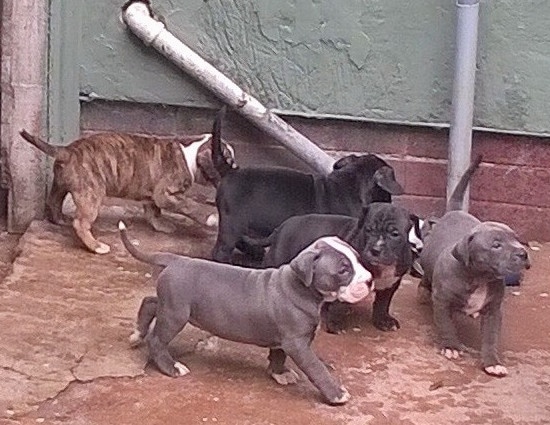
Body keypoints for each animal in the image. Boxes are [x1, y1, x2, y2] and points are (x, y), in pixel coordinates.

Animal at [120, 220, 376, 402]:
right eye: (343, 270)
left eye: (358, 259)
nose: (370, 280)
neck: (301, 286)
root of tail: (176, 260)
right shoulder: (297, 342)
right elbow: (316, 368)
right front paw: (336, 394)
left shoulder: (285, 338)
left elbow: (278, 353)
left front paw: (279, 373)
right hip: (176, 313)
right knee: (157, 339)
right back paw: (171, 367)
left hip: (171, 305)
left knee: (150, 302)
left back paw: (137, 333)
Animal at [243, 202, 418, 332]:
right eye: (368, 230)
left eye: (395, 234)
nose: (375, 250)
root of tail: (280, 228)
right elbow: (339, 303)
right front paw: (335, 324)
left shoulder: (391, 283)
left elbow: (383, 303)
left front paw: (383, 320)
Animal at [420, 157, 532, 376]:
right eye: (496, 245)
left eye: (516, 239)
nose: (523, 253)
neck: (479, 278)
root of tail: (454, 211)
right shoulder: (442, 302)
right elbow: (446, 325)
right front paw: (451, 346)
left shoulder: (493, 310)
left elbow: (490, 337)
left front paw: (492, 362)